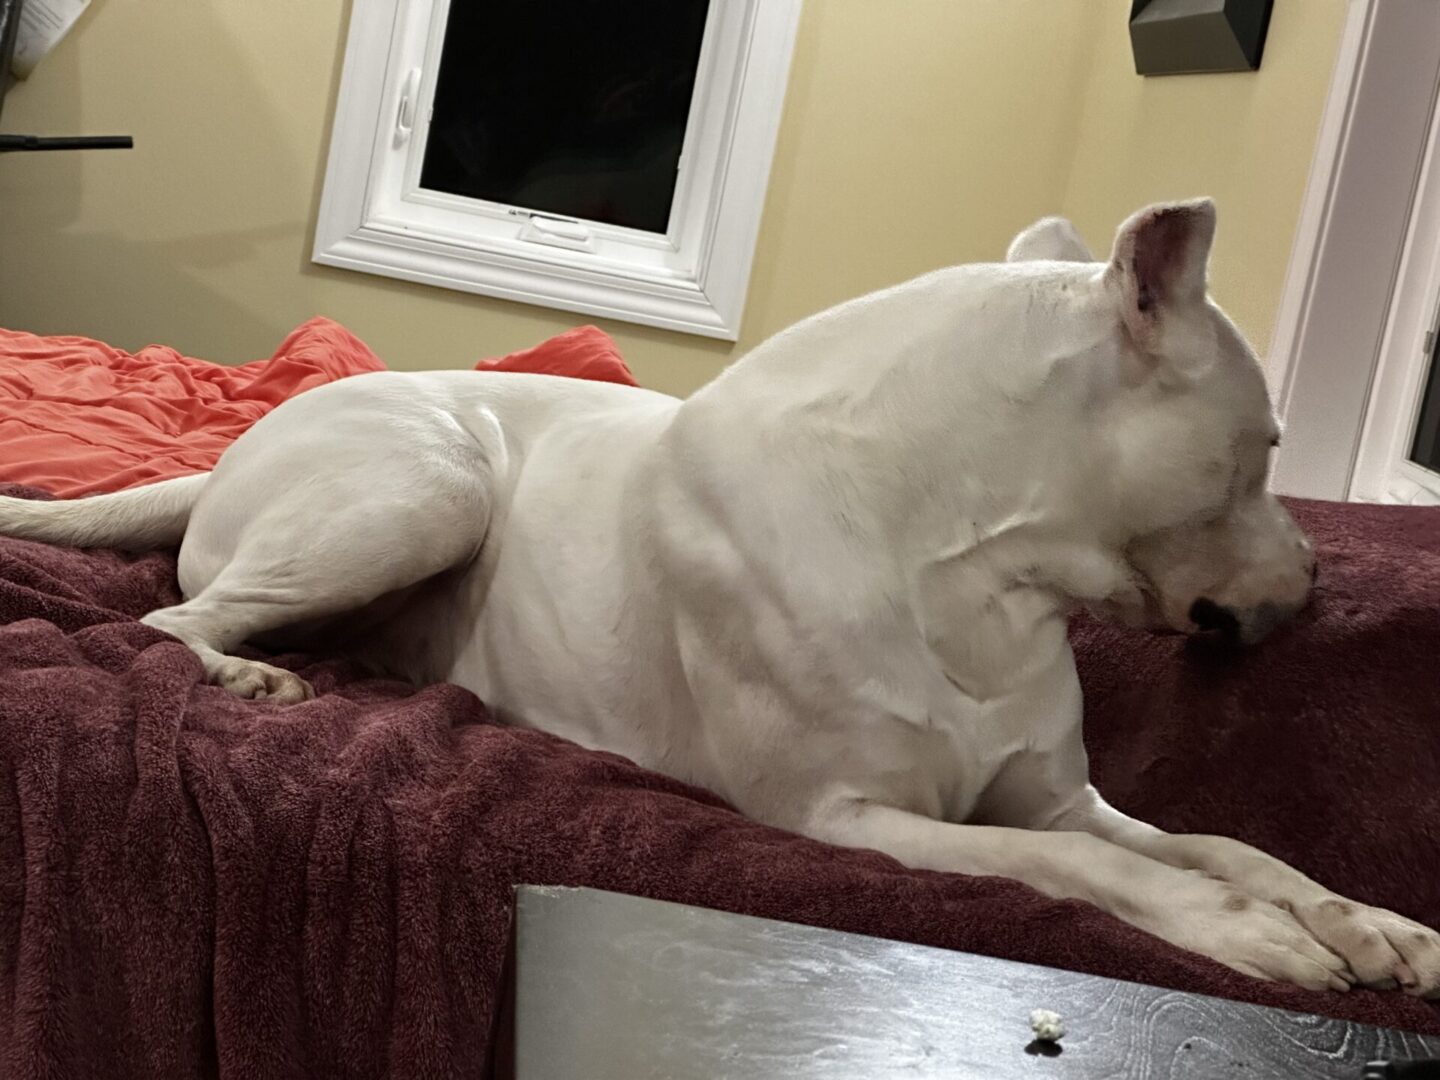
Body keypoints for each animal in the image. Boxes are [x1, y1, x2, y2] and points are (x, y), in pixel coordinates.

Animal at [0, 201, 1434, 996]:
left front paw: (1367, 921)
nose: (1318, 580)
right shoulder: (849, 817)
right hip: (428, 481)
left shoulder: (1059, 791)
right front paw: (1244, 933)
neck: (973, 563)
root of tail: (227, 455)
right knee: (171, 622)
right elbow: (1080, 868)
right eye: (1266, 447)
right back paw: (245, 672)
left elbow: (1217, 842)